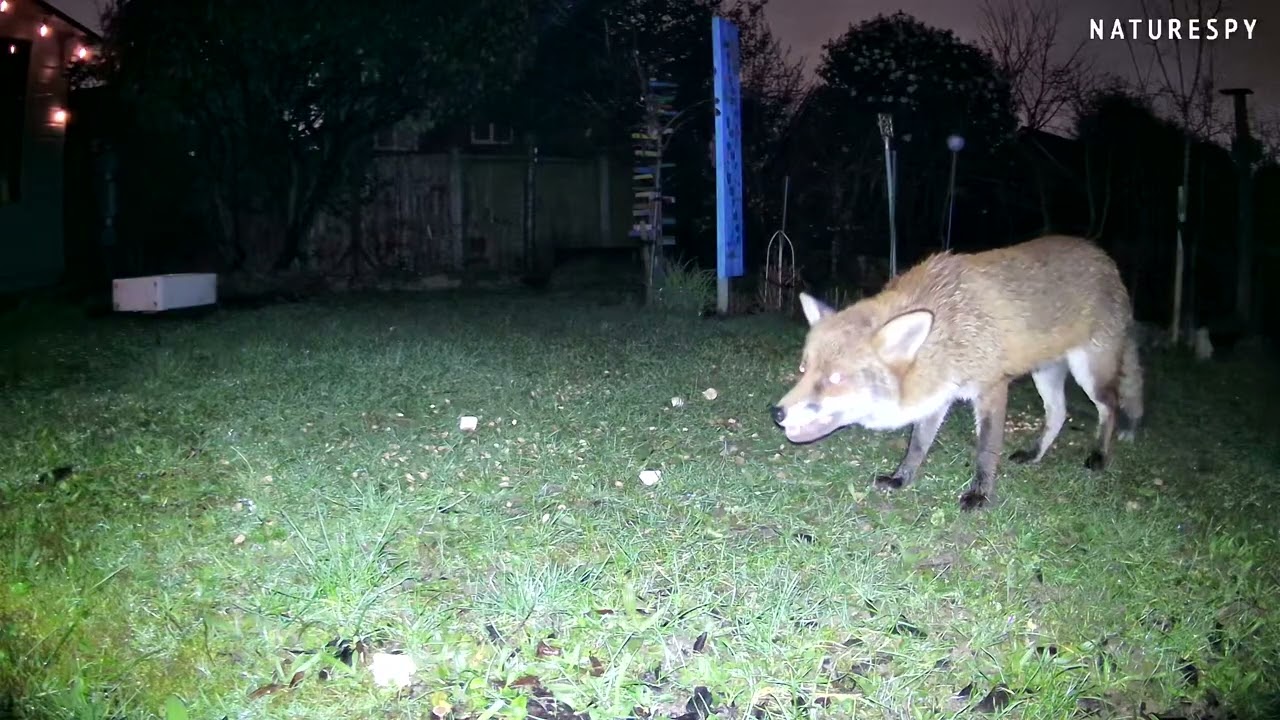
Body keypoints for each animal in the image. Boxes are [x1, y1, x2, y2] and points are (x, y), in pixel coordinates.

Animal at [769, 234, 1144, 511]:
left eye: (835, 380)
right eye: (804, 369)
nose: (777, 412)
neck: (950, 331)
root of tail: (1103, 257)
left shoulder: (992, 387)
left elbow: (986, 450)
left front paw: (980, 494)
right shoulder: (937, 394)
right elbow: (917, 445)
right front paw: (901, 478)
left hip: (1090, 373)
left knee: (1110, 407)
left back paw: (1100, 455)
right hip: (1045, 373)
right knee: (1059, 413)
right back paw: (1035, 454)